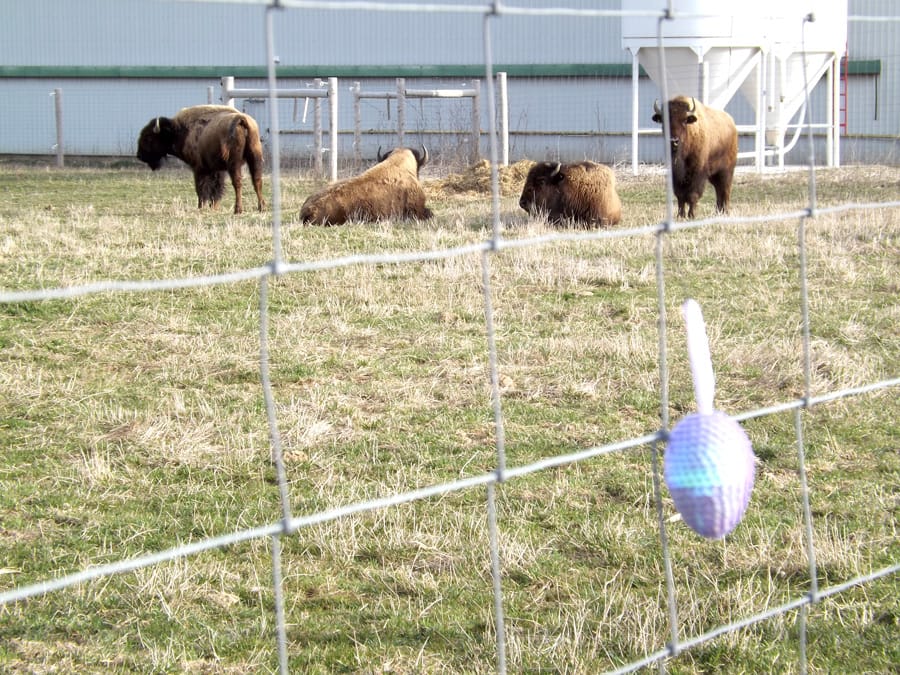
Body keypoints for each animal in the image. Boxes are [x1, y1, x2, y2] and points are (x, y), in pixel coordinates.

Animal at [137, 104, 266, 214]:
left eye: (148, 137)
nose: (139, 155)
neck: (178, 131)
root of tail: (241, 119)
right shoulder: (216, 169)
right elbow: (216, 188)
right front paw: (213, 207)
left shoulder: (198, 168)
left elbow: (201, 188)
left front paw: (201, 207)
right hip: (255, 157)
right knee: (257, 181)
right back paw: (261, 207)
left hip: (234, 164)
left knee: (237, 183)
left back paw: (238, 209)